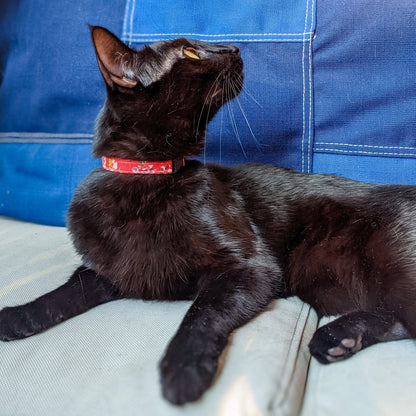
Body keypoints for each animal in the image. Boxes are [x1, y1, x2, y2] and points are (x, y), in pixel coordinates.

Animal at [1, 26, 414, 404]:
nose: (234, 47)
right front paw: (19, 316)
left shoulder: (248, 267)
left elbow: (201, 314)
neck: (148, 182)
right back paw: (337, 339)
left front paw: (182, 368)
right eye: (189, 52)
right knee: (395, 318)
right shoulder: (112, 271)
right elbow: (65, 292)